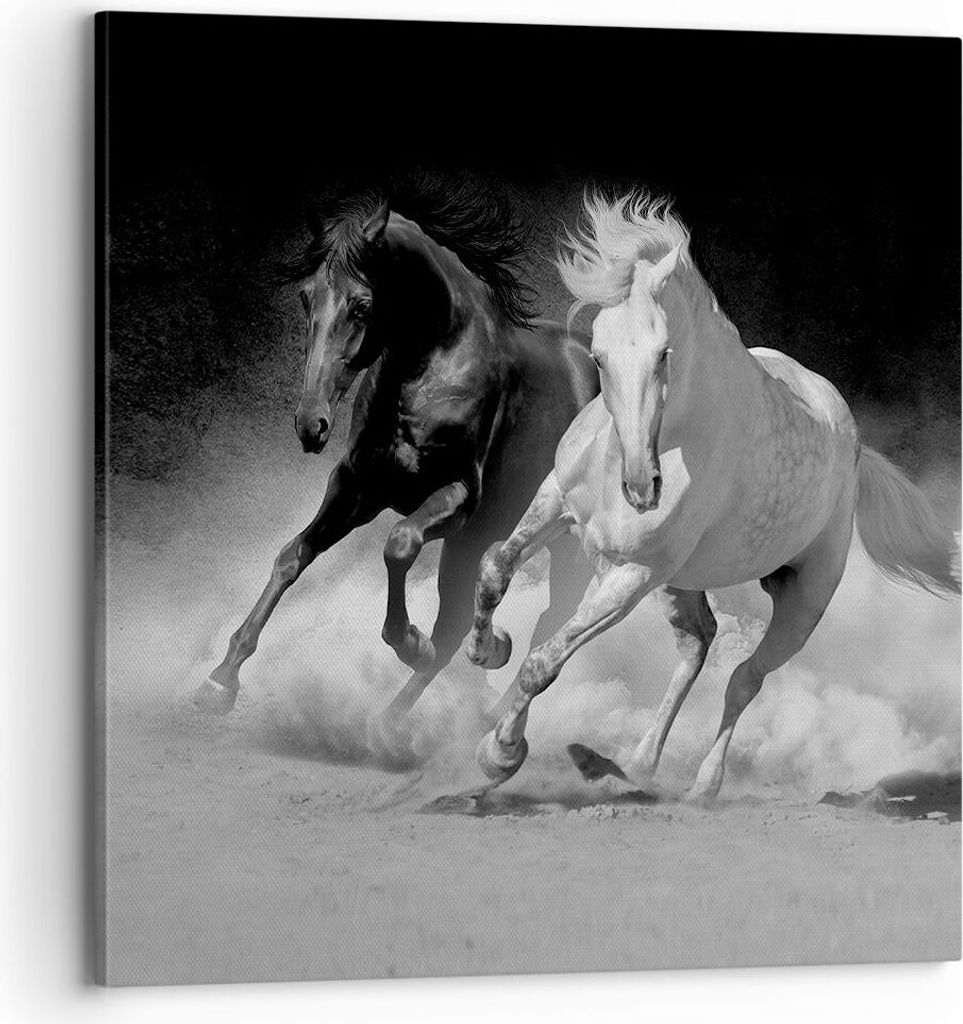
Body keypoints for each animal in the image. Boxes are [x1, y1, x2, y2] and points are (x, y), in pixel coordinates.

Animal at [193, 176, 598, 728]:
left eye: (362, 305)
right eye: (305, 298)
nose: (311, 425)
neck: (434, 367)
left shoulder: (457, 497)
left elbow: (399, 544)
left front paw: (410, 642)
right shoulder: (357, 486)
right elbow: (292, 556)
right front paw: (220, 679)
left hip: (557, 542)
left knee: (541, 619)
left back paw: (462, 707)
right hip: (479, 541)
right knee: (467, 621)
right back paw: (413, 714)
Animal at [463, 190, 960, 803]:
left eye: (664, 353)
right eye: (599, 356)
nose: (641, 489)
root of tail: (854, 448)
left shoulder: (633, 574)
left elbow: (545, 660)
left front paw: (500, 754)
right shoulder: (556, 501)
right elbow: (494, 569)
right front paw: (489, 649)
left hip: (802, 597)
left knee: (744, 678)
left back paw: (702, 784)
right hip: (679, 582)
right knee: (698, 643)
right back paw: (638, 763)